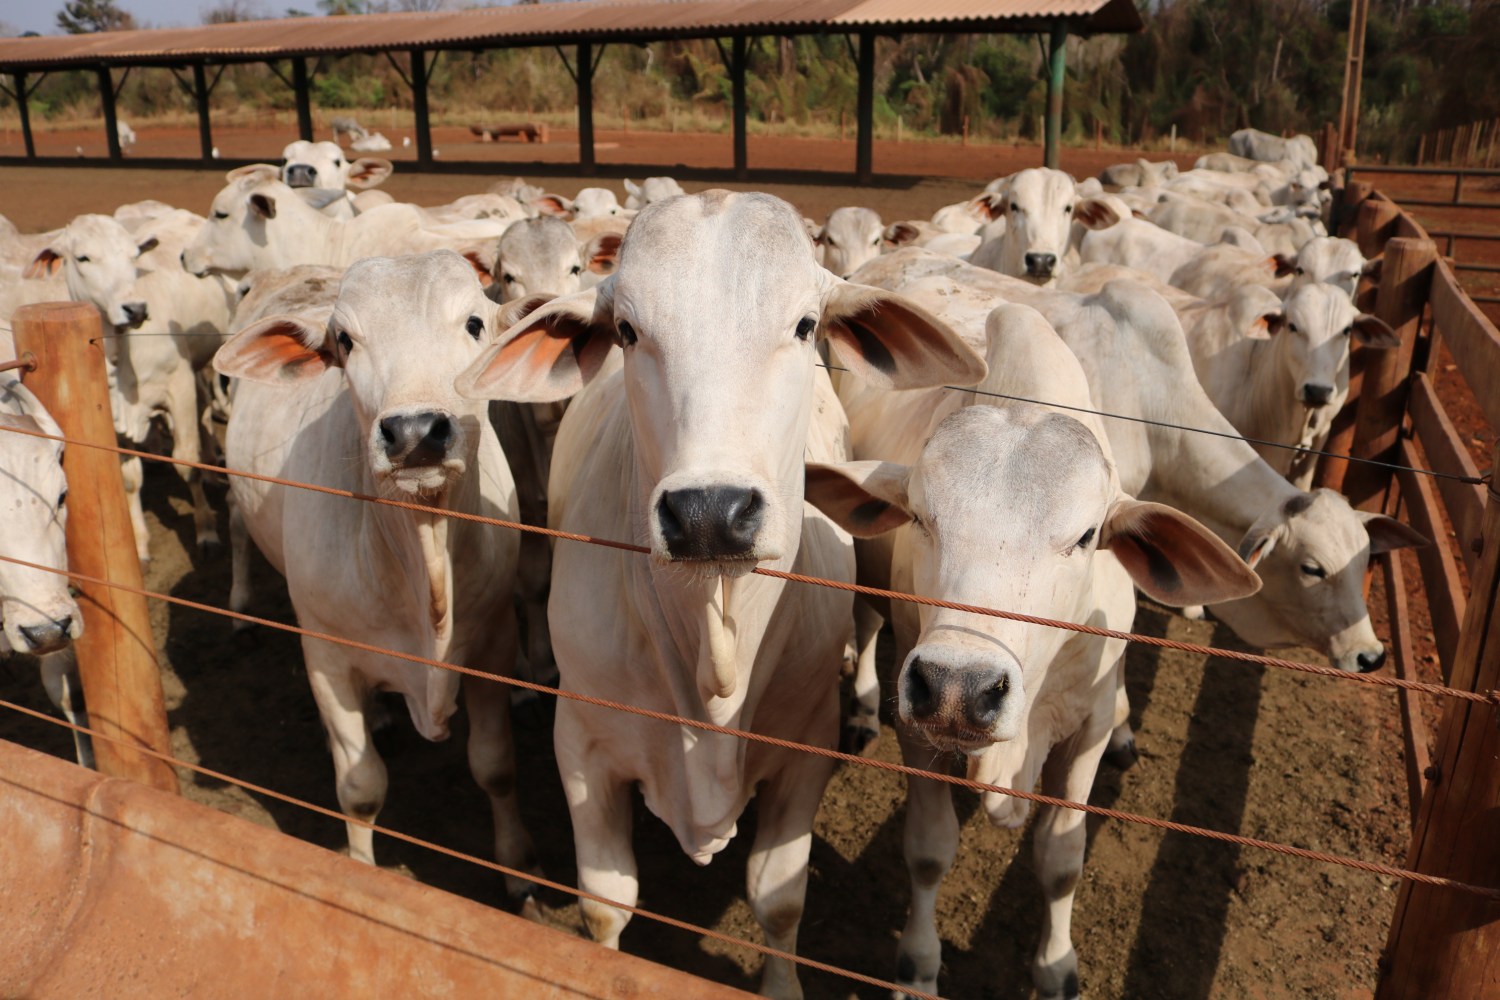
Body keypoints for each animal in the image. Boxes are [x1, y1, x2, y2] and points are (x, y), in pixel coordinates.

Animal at [214, 248, 549, 893]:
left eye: (475, 323)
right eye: (345, 340)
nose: (415, 432)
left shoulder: (494, 643)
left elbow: (495, 766)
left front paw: (519, 868)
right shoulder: (325, 657)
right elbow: (361, 786)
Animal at [453, 189, 984, 1000]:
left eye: (804, 326)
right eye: (628, 331)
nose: (710, 512)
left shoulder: (804, 748)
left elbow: (779, 899)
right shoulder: (583, 746)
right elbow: (606, 905)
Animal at [822, 280, 1254, 1000]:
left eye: (1084, 536)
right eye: (919, 516)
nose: (959, 689)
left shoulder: (1088, 726)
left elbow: (1060, 857)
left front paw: (1055, 967)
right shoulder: (919, 730)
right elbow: (928, 850)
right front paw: (918, 966)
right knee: (866, 621)